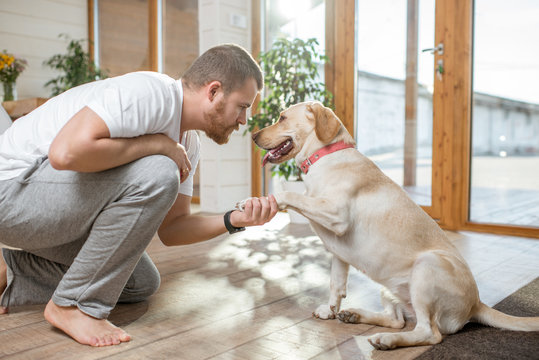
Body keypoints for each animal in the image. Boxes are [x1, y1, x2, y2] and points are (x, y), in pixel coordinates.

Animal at [244, 102, 539, 350]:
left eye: (282, 118)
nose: (253, 136)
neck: (325, 156)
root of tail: (476, 303)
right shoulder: (339, 254)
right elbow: (336, 285)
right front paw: (330, 309)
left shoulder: (336, 213)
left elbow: (291, 195)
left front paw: (261, 201)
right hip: (390, 287)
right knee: (398, 319)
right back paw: (355, 315)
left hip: (427, 267)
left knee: (429, 333)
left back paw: (386, 340)